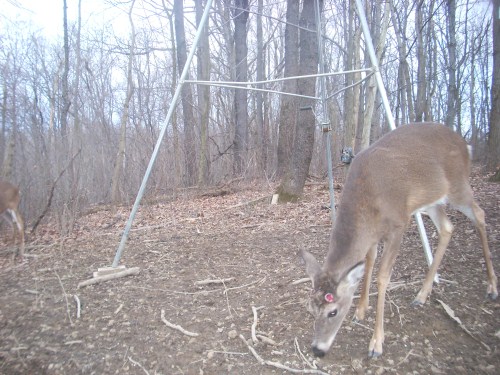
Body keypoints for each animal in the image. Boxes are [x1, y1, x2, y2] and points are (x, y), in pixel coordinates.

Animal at [298, 122, 498, 358]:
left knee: (480, 214)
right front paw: (360, 310)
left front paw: (376, 343)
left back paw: (492, 287)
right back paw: (422, 295)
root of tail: (465, 144)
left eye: (333, 312)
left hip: (459, 185)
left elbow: (383, 276)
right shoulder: (373, 235)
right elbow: (368, 263)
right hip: (433, 200)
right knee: (447, 227)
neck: (367, 202)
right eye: (310, 309)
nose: (317, 349)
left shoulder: (399, 224)